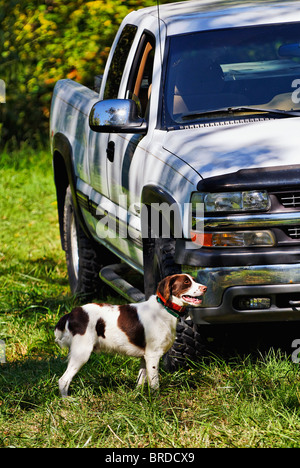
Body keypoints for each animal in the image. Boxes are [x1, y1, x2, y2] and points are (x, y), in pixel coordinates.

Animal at [54, 272, 206, 396]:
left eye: (193, 280)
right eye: (186, 282)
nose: (205, 288)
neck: (164, 308)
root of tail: (72, 313)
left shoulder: (145, 357)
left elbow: (140, 381)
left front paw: (137, 397)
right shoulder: (153, 355)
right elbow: (154, 383)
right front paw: (156, 401)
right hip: (81, 353)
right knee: (63, 380)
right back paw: (67, 401)